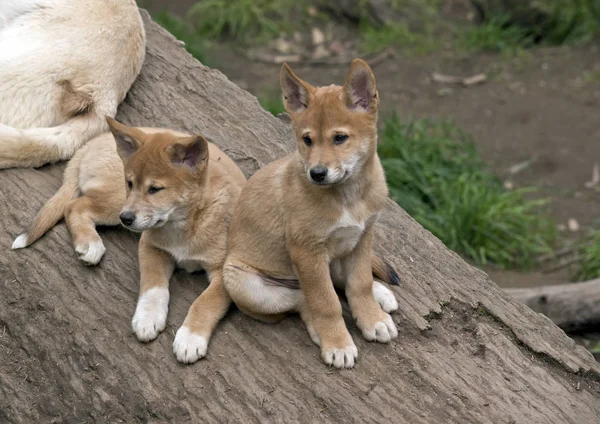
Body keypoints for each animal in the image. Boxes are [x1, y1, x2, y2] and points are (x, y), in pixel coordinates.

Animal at [14, 117, 245, 362]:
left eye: (155, 189)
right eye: (131, 183)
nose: (126, 219)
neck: (186, 224)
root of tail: (91, 143)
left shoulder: (227, 271)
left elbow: (207, 301)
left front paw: (190, 338)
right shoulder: (150, 246)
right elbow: (153, 285)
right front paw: (147, 317)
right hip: (116, 200)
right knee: (75, 206)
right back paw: (89, 243)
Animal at [223, 59, 400, 372]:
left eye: (340, 138)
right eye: (307, 140)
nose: (316, 174)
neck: (349, 196)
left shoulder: (363, 237)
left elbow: (360, 283)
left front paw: (372, 318)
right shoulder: (306, 251)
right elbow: (326, 303)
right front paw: (338, 343)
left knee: (343, 283)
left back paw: (382, 294)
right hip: (247, 284)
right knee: (304, 300)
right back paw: (321, 330)